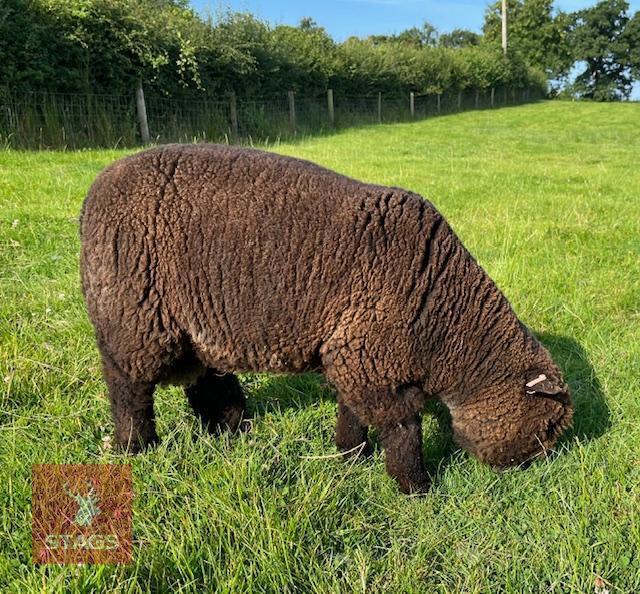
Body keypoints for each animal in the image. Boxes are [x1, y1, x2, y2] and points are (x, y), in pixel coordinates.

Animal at [80, 143, 573, 494]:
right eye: (548, 427)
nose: (534, 473)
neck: (444, 320)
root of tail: (96, 187)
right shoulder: (370, 357)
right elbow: (404, 429)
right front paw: (416, 487)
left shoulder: (355, 355)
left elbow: (351, 411)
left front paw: (349, 456)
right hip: (134, 314)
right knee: (128, 386)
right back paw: (134, 447)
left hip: (194, 326)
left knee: (205, 379)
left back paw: (231, 430)